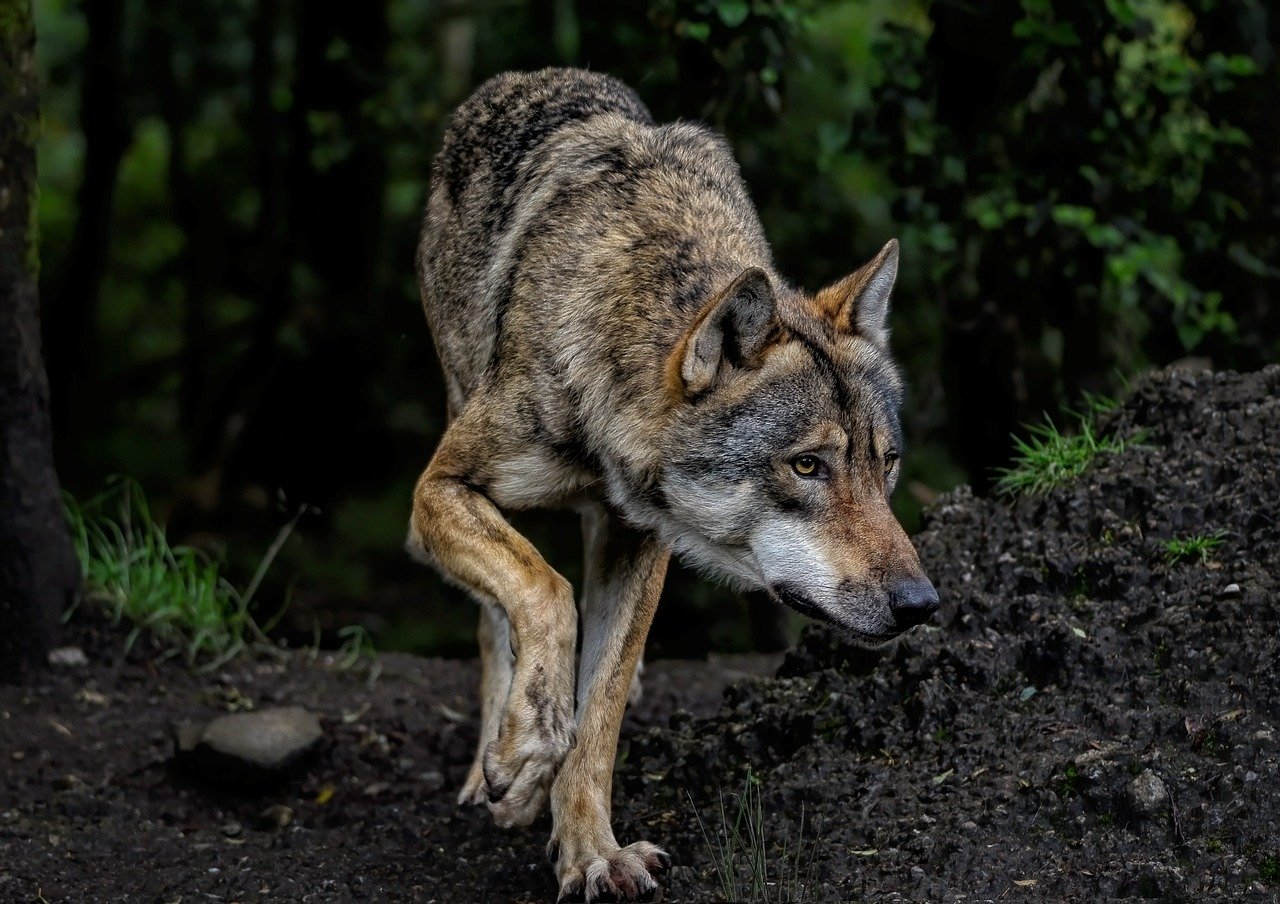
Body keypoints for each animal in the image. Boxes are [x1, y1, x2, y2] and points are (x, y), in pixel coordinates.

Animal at [408, 67, 938, 902]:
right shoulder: (439, 489)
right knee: (498, 618)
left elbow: (600, 713)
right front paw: (525, 752)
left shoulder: (640, 541)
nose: (922, 605)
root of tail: (517, 80)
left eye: (883, 464)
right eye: (807, 466)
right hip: (458, 408)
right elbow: (544, 592)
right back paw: (498, 761)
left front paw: (591, 852)